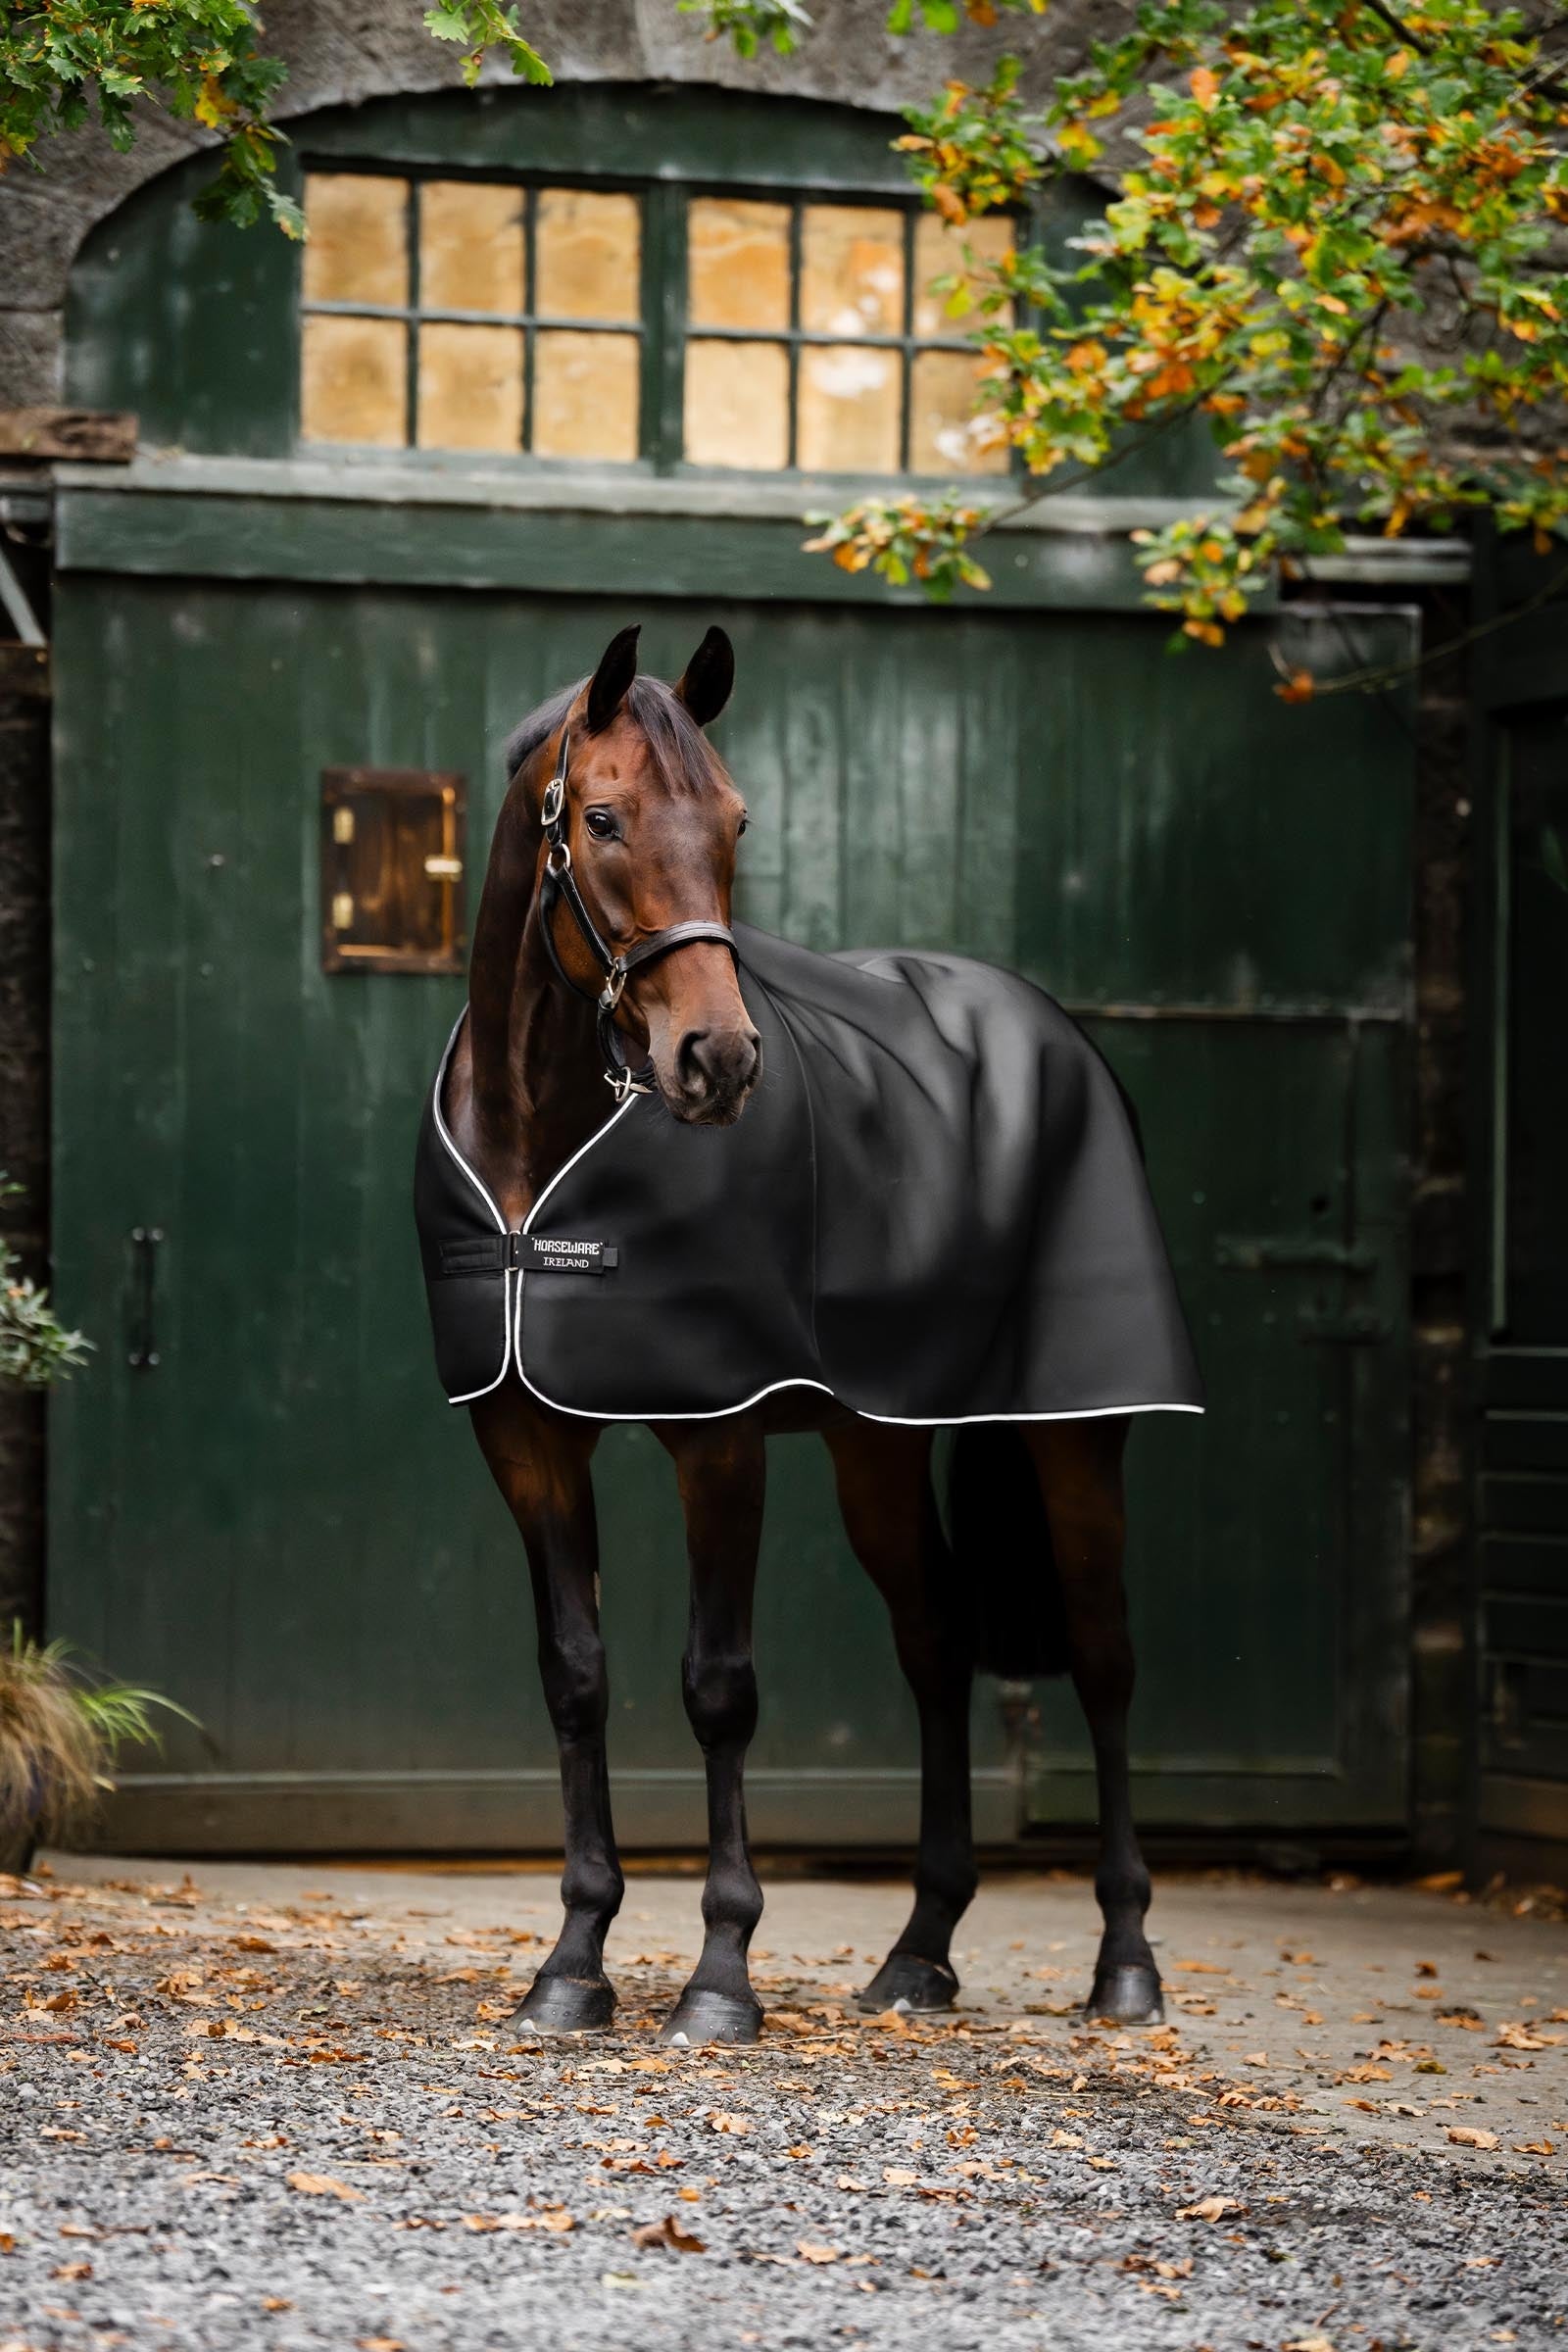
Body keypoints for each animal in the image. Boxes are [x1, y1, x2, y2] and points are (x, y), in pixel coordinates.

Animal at [423, 620, 1198, 2048]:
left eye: (733, 820)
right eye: (602, 818)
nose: (717, 1062)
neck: (540, 1134)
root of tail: (1049, 1029)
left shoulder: (719, 1438)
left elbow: (717, 1686)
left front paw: (719, 1977)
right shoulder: (523, 1435)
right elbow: (575, 1675)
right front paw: (573, 1963)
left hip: (1075, 1436)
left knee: (1104, 1658)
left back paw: (1125, 1962)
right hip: (876, 1444)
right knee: (936, 1640)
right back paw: (920, 1954)